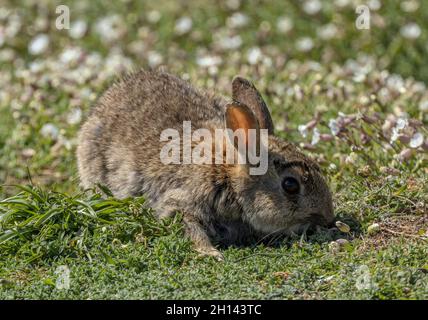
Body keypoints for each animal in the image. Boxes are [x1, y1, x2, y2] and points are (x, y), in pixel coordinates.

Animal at [78, 70, 336, 260]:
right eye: (290, 185)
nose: (328, 218)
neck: (228, 176)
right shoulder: (181, 201)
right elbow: (188, 227)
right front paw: (211, 253)